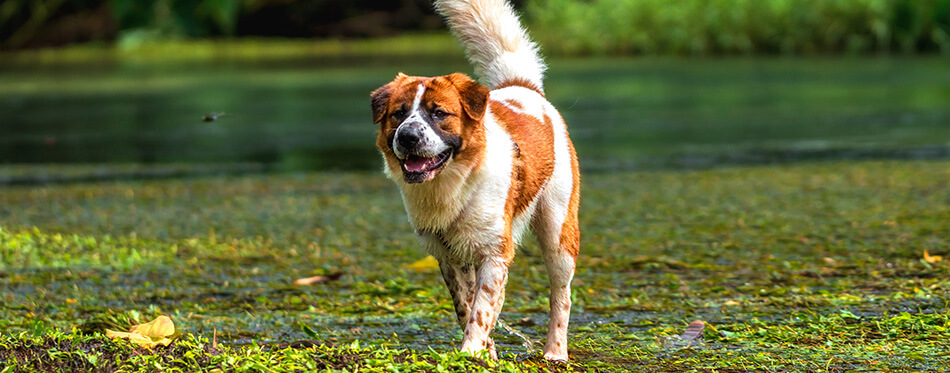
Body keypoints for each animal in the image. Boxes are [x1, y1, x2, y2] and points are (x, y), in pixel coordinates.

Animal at [372, 0, 580, 360]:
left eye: (439, 113)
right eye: (398, 114)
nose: (408, 136)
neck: (455, 185)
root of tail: (523, 86)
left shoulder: (494, 254)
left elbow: (481, 310)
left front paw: (470, 350)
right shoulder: (448, 257)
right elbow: (467, 306)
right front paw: (485, 353)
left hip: (558, 234)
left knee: (561, 296)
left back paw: (555, 351)